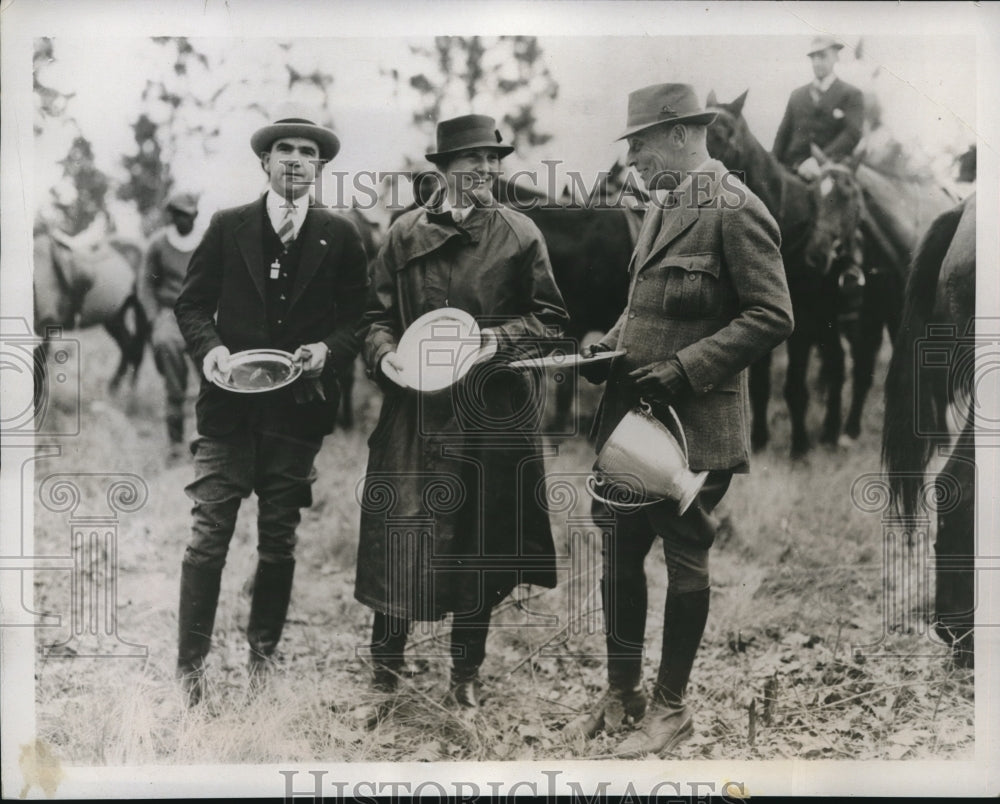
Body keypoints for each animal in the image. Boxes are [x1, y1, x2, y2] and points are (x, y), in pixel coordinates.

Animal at [32, 217, 150, 412]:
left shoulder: (45, 328)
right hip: (114, 317)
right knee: (127, 347)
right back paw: (113, 391)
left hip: (141, 313)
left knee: (137, 351)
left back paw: (129, 399)